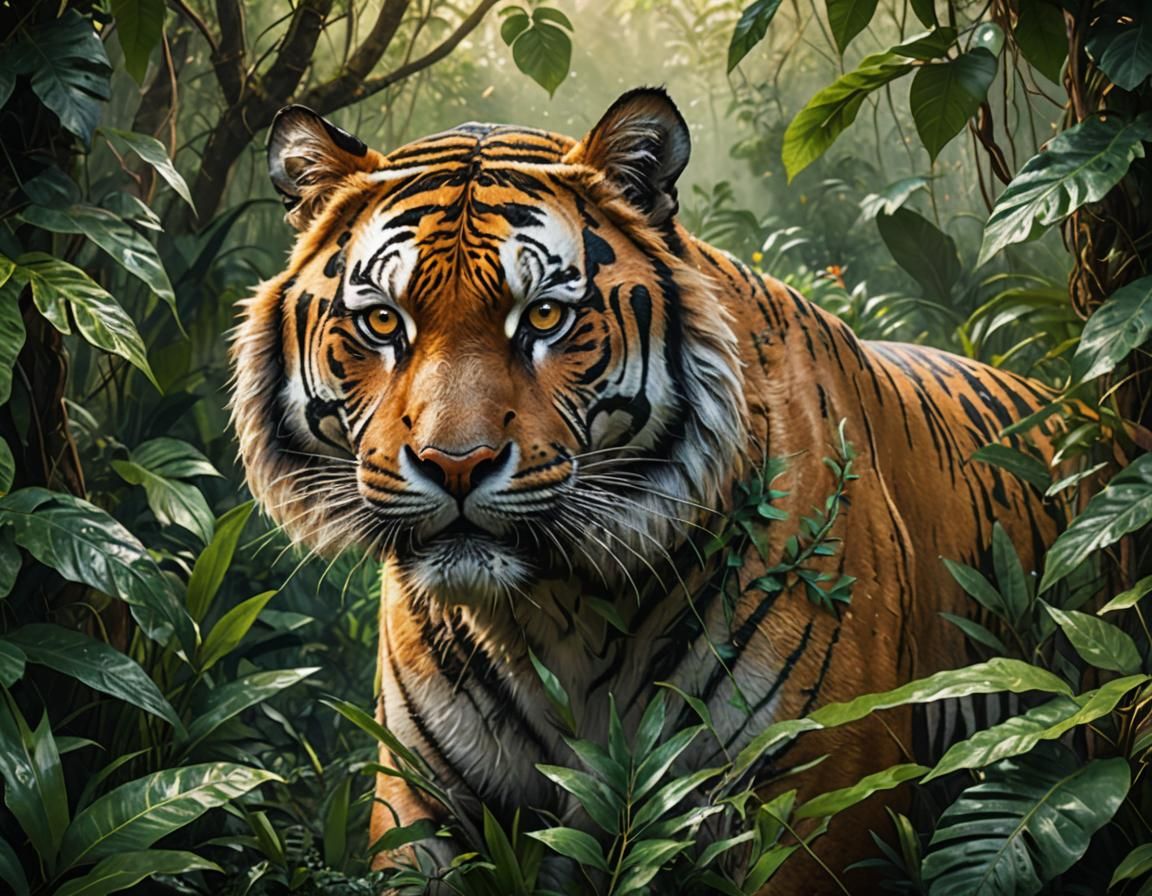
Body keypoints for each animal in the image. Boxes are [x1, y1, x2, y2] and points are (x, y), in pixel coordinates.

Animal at [231, 87, 1062, 891]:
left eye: (544, 316)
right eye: (381, 322)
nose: (456, 464)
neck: (556, 615)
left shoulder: (821, 792)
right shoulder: (423, 799)